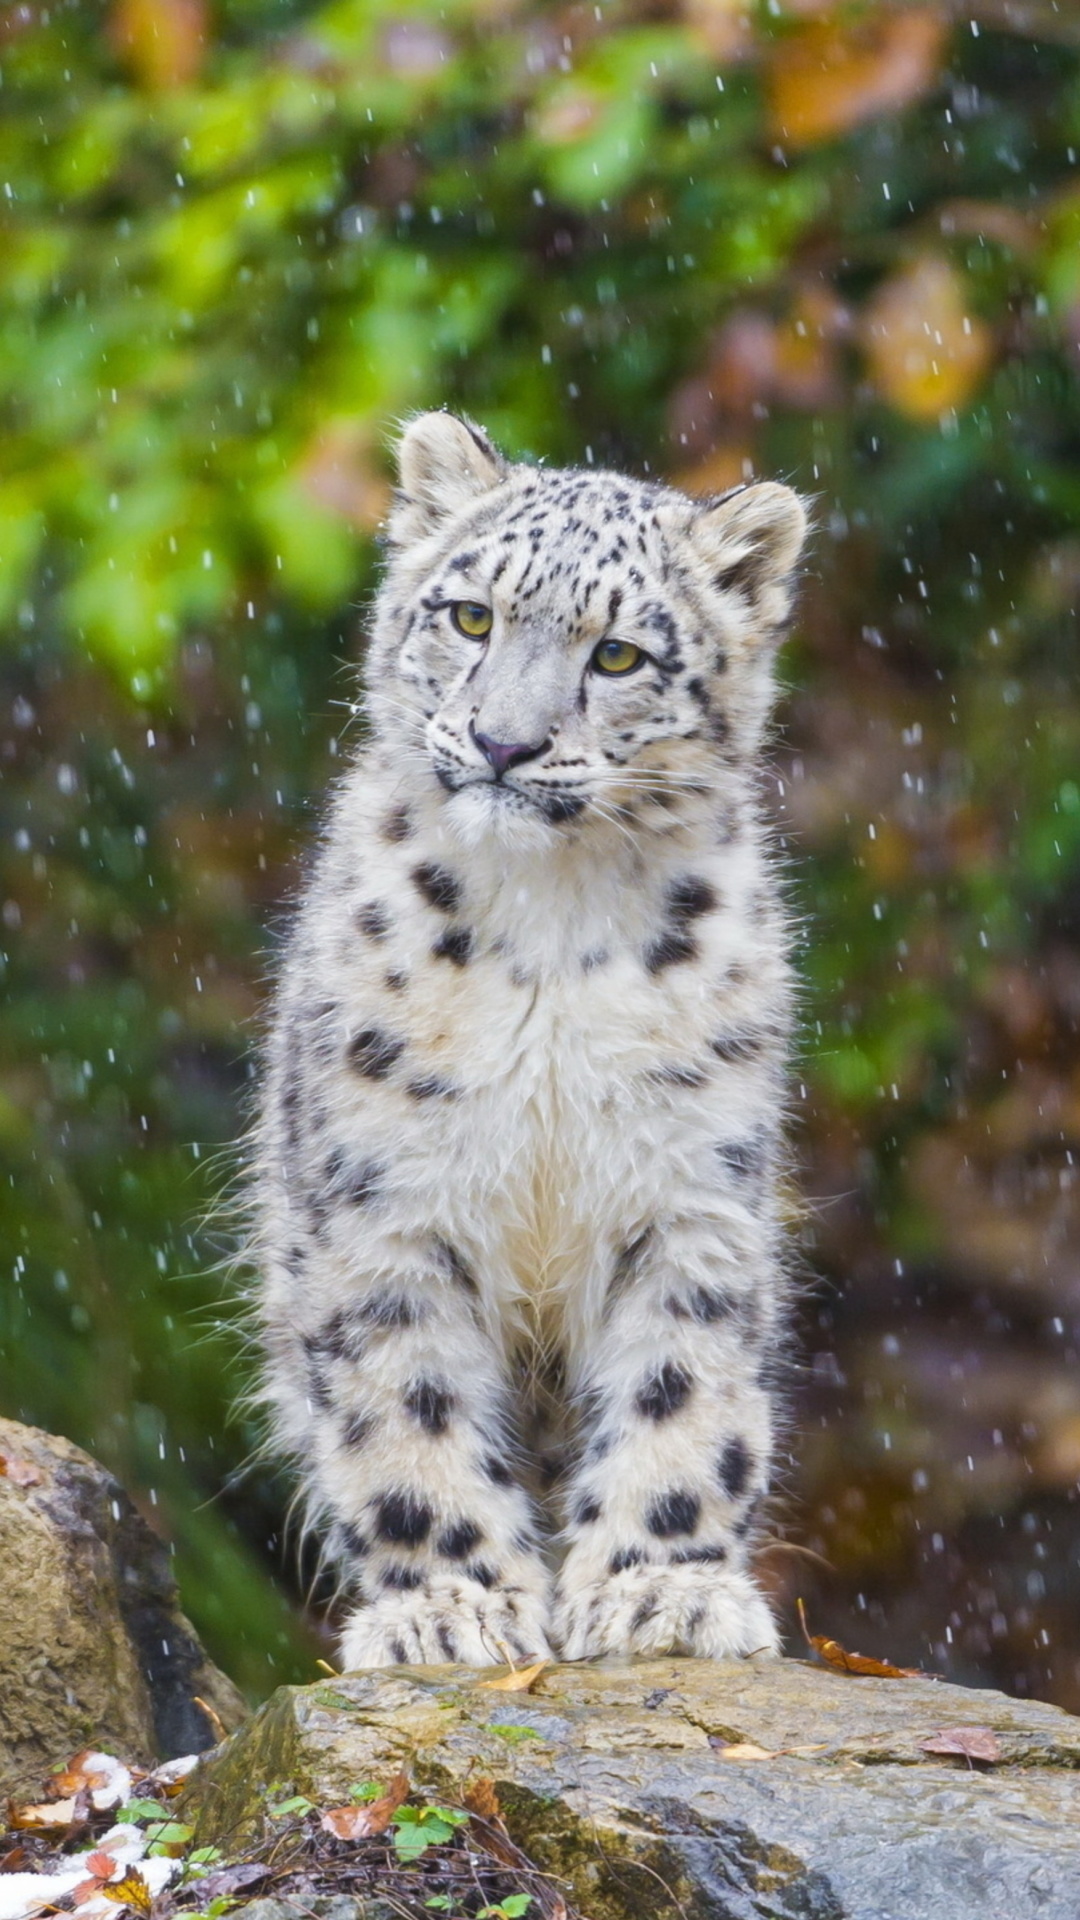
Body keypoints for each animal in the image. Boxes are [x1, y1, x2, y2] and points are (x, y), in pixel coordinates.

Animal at [253, 408, 807, 1666]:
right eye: (471, 616)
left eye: (620, 657)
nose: (503, 744)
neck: (552, 924)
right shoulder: (384, 1202)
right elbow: (403, 1404)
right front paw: (449, 1606)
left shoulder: (692, 1195)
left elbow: (682, 1391)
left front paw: (663, 1589)